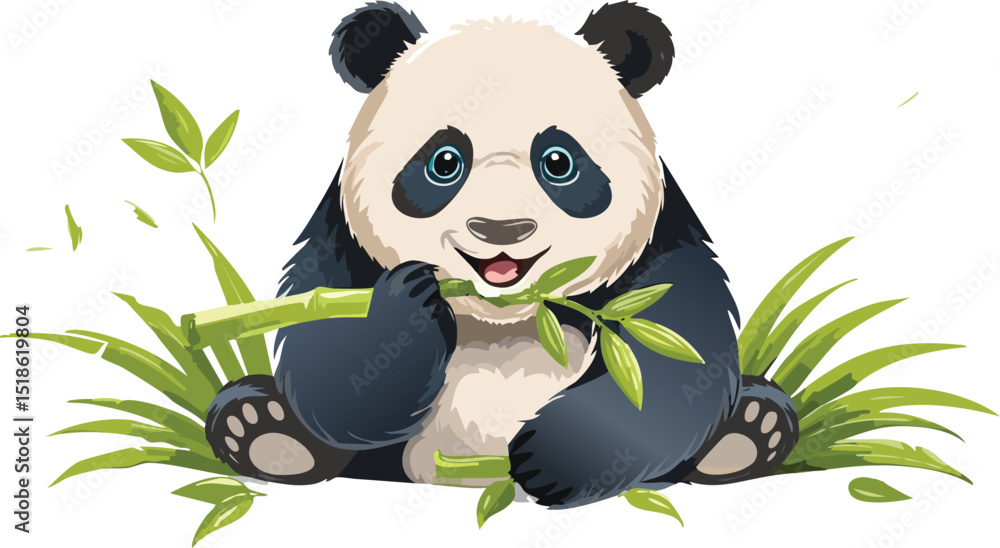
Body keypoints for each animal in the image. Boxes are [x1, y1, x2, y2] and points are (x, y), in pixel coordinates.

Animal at [205, 1, 799, 508]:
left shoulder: (663, 239)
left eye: (558, 161)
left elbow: (673, 362)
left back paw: (750, 431)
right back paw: (262, 430)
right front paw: (409, 303)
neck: (504, 314)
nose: (501, 229)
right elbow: (328, 361)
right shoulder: (341, 238)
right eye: (444, 161)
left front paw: (551, 457)